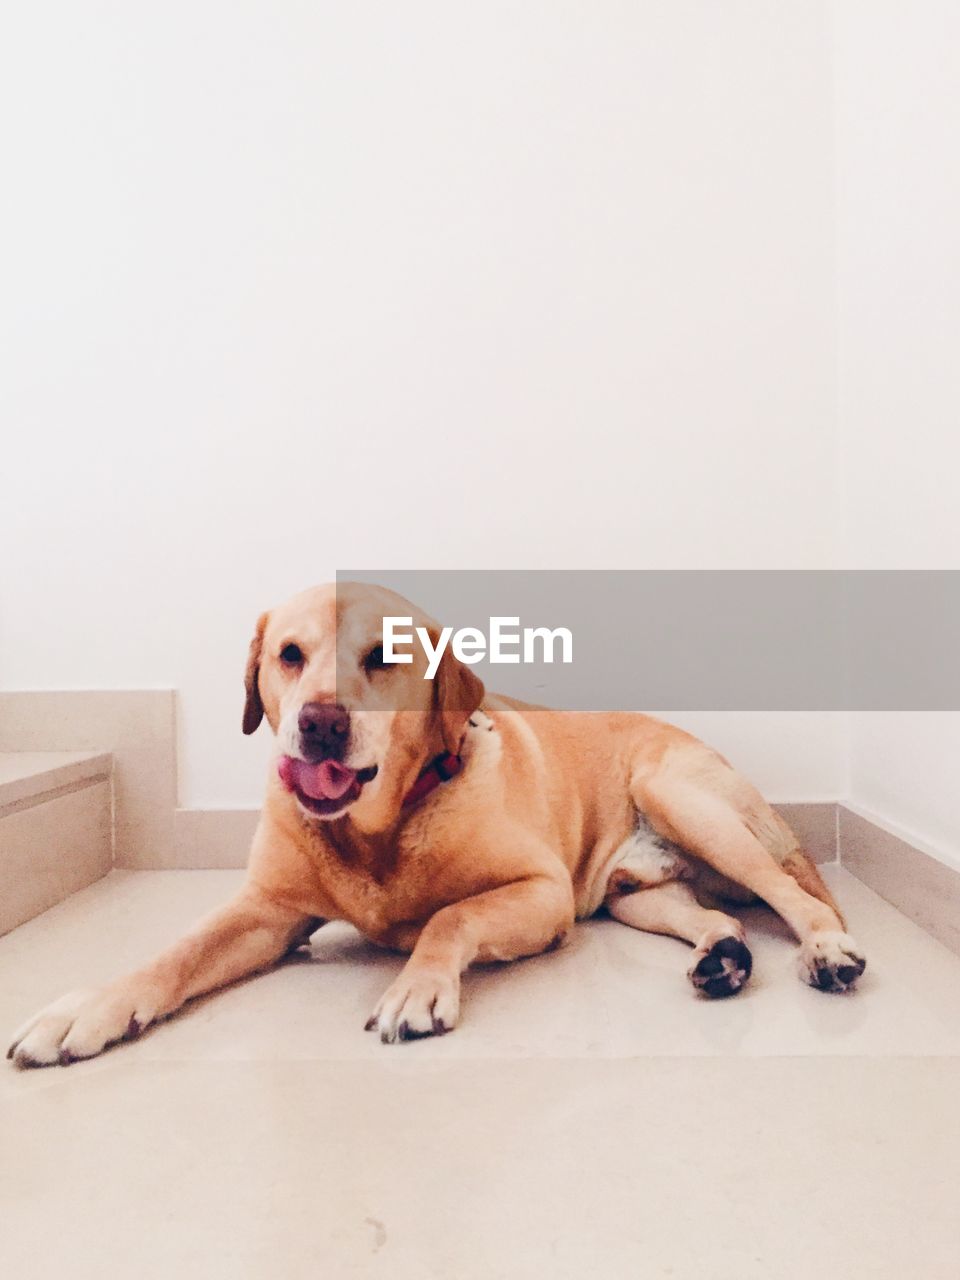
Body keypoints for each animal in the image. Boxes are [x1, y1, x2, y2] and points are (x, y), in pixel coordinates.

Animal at [7, 581, 870, 1059]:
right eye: (289, 654)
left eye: (383, 657)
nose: (320, 724)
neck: (377, 831)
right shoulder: (265, 911)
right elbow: (173, 954)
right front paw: (90, 1008)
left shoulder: (542, 893)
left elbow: (449, 917)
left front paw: (416, 989)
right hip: (636, 895)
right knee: (710, 916)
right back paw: (721, 958)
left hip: (681, 800)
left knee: (800, 900)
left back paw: (827, 952)